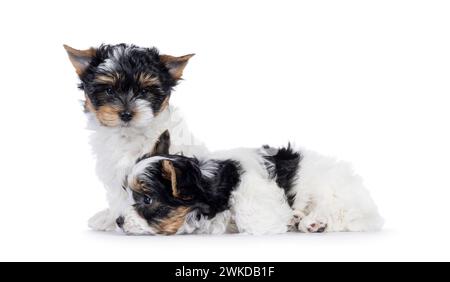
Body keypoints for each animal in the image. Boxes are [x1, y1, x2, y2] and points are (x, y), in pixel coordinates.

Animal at [64, 43, 207, 229]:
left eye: (145, 91)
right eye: (109, 90)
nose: (126, 114)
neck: (129, 134)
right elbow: (118, 195)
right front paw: (111, 218)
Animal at [117, 131, 384, 235]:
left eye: (147, 200)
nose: (118, 221)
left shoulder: (253, 196)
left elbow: (253, 219)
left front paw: (286, 220)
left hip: (329, 190)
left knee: (338, 212)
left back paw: (312, 221)